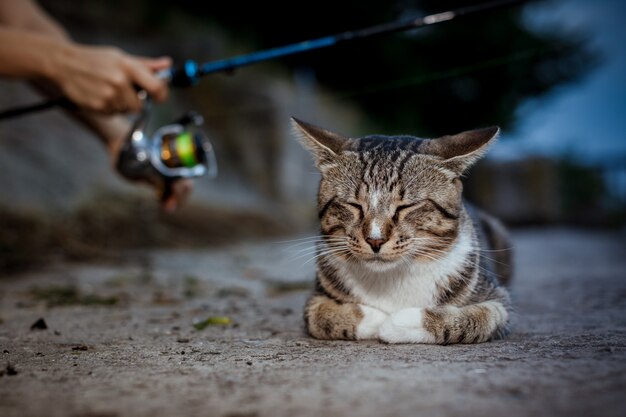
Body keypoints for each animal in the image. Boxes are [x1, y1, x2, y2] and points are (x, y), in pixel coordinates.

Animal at [292, 118, 512, 344]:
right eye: (354, 205)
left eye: (406, 206)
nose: (375, 240)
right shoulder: (315, 299)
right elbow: (319, 317)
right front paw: (376, 319)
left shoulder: (498, 300)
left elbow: (478, 318)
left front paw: (397, 323)